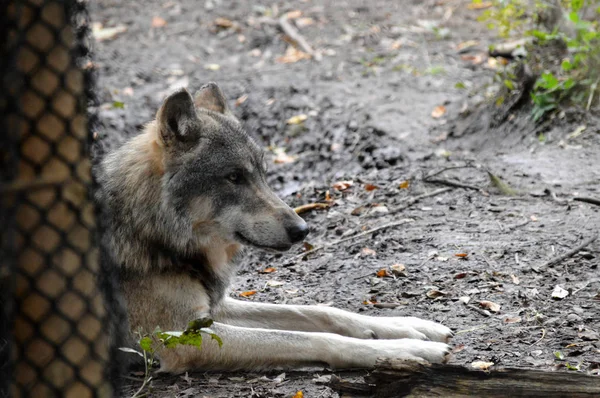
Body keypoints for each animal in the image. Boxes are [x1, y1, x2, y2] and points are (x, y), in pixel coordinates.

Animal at [96, 81, 450, 374]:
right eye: (234, 177)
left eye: (263, 174)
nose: (302, 229)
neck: (148, 229)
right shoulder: (183, 338)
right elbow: (307, 337)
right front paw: (402, 350)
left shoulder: (212, 310)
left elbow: (321, 312)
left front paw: (409, 327)